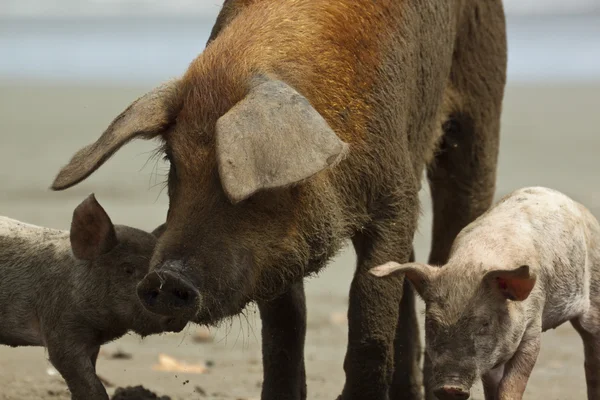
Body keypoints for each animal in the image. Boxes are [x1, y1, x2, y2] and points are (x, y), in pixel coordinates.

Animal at [49, 1, 506, 398]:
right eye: (172, 162)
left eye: (235, 178)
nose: (164, 278)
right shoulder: (270, 256)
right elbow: (285, 326)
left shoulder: (395, 193)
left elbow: (368, 310)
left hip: (481, 101)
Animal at [370, 188, 600, 400]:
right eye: (432, 324)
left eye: (484, 324)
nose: (450, 387)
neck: (473, 262)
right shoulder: (491, 357)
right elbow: (492, 385)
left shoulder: (533, 325)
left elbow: (513, 381)